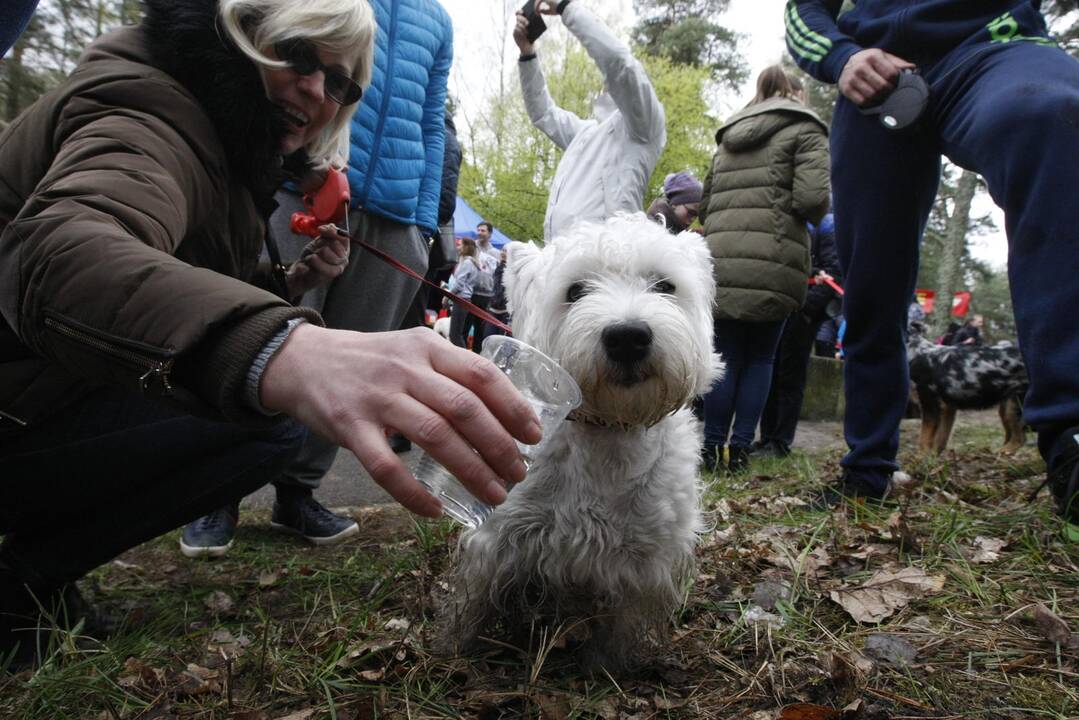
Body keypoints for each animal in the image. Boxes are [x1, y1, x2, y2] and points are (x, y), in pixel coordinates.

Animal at [442, 211, 720, 673]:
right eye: (575, 291)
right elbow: (476, 599)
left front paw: (604, 671)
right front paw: (459, 650)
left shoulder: (643, 562)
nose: (628, 337)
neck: (609, 431)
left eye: (665, 286)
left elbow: (620, 627)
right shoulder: (500, 539)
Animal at [902, 323, 1027, 453]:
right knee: (1014, 435)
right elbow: (940, 439)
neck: (916, 353)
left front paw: (921, 457)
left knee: (1019, 438)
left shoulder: (929, 401)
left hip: (1015, 405)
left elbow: (924, 439)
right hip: (1006, 406)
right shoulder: (947, 407)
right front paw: (933, 457)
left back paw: (1000, 452)